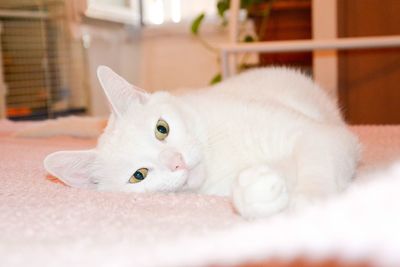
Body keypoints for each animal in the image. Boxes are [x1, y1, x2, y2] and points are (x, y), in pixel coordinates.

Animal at [42, 66, 360, 220]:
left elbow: (315, 158)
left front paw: (312, 197)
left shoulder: (321, 135)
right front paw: (257, 192)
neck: (219, 156)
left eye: (162, 129)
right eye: (138, 175)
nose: (177, 163)